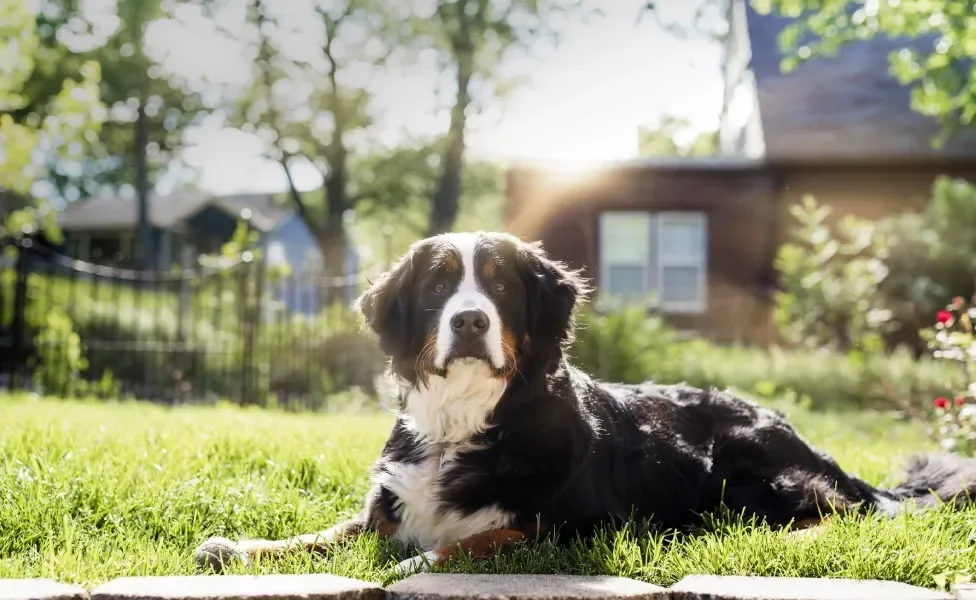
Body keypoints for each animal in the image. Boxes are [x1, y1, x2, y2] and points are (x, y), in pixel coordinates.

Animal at [194, 231, 976, 576]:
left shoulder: (570, 525)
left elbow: (477, 539)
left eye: (500, 286)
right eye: (440, 286)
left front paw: (419, 563)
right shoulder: (386, 506)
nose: (469, 320)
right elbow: (322, 534)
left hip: (746, 461)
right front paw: (239, 546)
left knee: (837, 515)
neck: (470, 420)